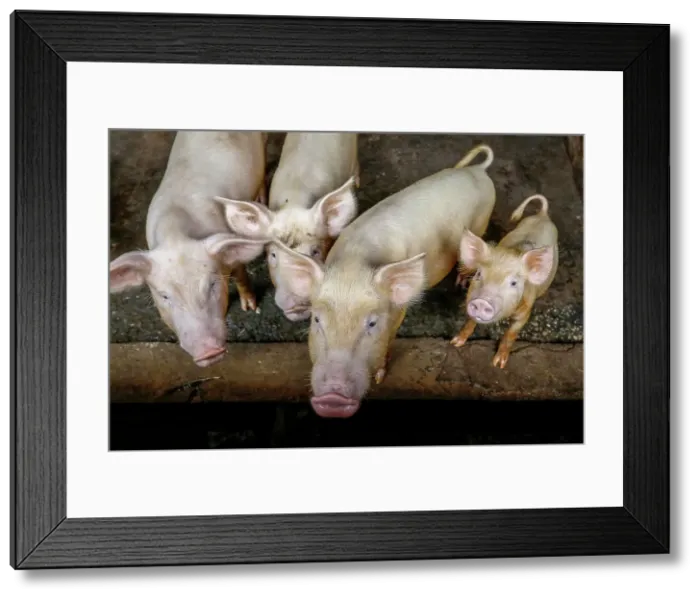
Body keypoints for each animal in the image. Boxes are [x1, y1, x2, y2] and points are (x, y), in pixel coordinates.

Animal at [108, 130, 270, 367]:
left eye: (212, 284)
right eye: (165, 296)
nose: (208, 351)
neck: (175, 235)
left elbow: (240, 273)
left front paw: (250, 307)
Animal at [270, 143, 497, 418]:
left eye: (372, 323)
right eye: (316, 320)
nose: (334, 397)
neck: (354, 265)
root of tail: (479, 170)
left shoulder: (399, 310)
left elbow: (389, 337)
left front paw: (379, 378)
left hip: (481, 223)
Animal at [450, 193, 559, 369]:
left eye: (514, 283)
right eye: (479, 274)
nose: (482, 301)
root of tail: (543, 215)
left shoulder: (525, 313)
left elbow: (510, 334)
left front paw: (498, 364)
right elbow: (469, 322)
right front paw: (455, 343)